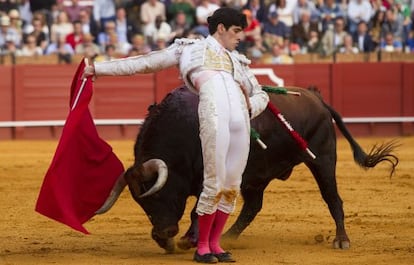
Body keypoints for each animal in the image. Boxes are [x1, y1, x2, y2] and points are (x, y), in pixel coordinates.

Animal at [97, 85, 398, 252]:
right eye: (141, 203)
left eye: (158, 193)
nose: (162, 235)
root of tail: (316, 98)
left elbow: (197, 210)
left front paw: (188, 240)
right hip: (256, 174)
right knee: (253, 206)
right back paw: (228, 237)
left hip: (322, 159)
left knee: (333, 199)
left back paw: (341, 240)